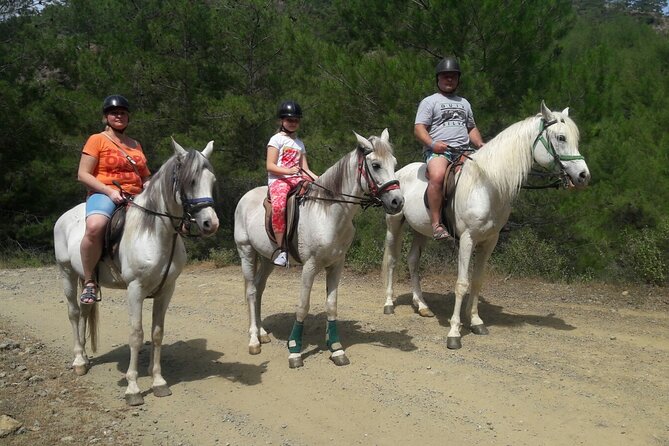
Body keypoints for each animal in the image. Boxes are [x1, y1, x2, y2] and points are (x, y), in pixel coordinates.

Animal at [53, 138, 219, 405]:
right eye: (190, 180)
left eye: (212, 180)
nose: (210, 224)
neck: (155, 232)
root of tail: (65, 216)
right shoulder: (135, 289)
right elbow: (136, 334)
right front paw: (132, 388)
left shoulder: (166, 290)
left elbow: (157, 333)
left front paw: (159, 382)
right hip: (66, 272)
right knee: (74, 313)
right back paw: (78, 360)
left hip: (86, 279)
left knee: (85, 311)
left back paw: (86, 358)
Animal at [234, 129, 404, 368]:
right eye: (376, 165)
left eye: (394, 162)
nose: (398, 201)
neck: (327, 212)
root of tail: (245, 198)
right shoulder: (310, 266)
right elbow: (302, 306)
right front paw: (295, 350)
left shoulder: (336, 265)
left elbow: (331, 305)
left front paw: (336, 348)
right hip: (247, 252)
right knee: (250, 292)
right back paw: (253, 341)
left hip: (268, 259)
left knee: (258, 290)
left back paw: (262, 333)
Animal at [382, 102, 591, 349]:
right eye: (560, 137)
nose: (583, 175)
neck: (487, 184)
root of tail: (399, 173)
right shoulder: (467, 239)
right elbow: (462, 283)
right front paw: (454, 333)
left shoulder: (489, 240)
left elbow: (477, 281)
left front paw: (475, 322)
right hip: (394, 224)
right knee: (393, 260)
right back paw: (388, 304)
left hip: (420, 230)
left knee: (413, 260)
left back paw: (422, 306)